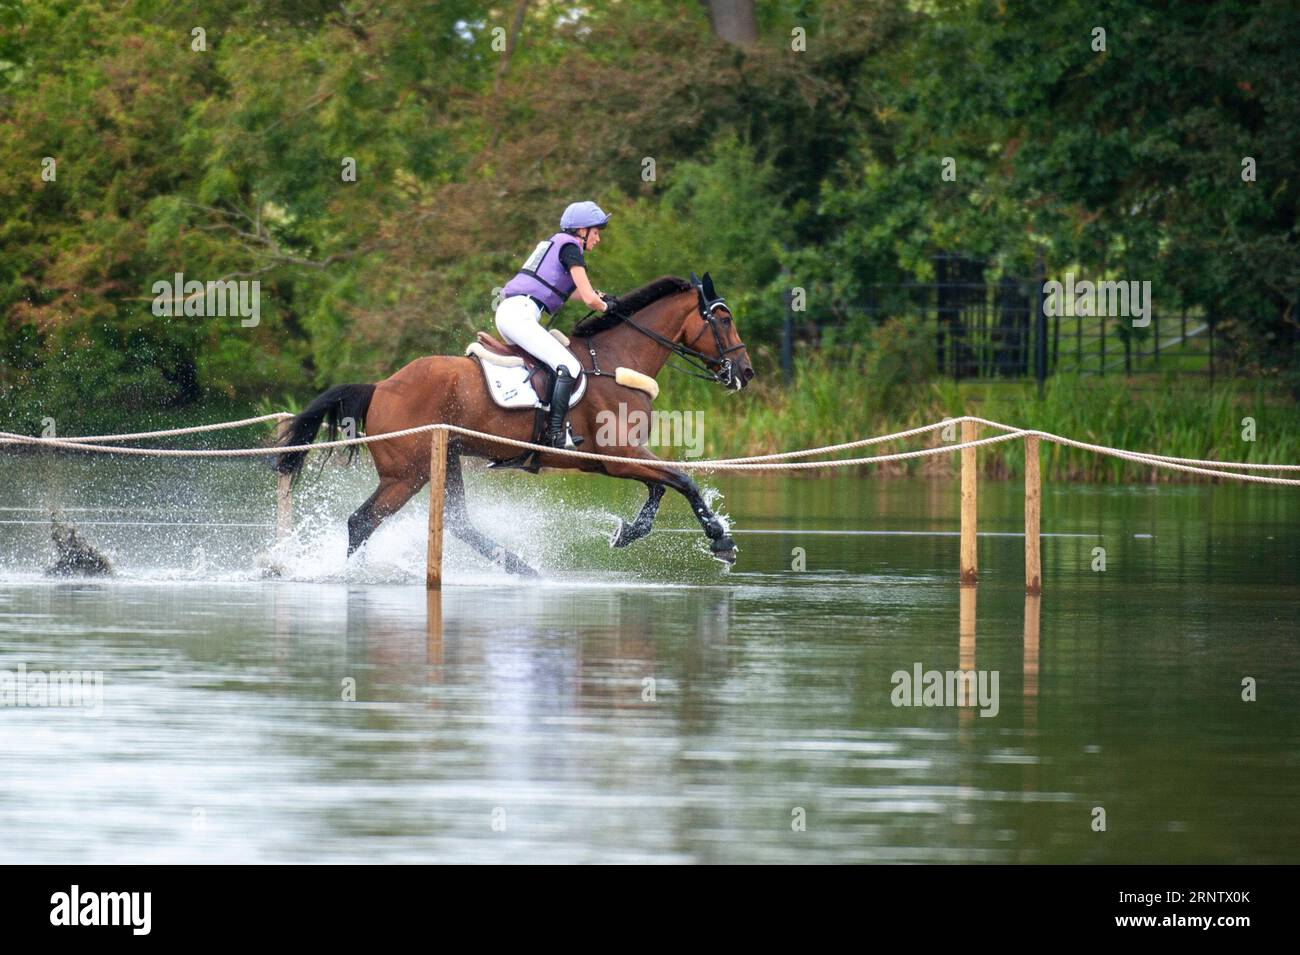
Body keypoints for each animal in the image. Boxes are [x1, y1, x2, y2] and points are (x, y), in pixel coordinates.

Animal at [279, 272, 759, 579]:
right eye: (724, 319)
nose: (744, 372)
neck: (616, 360)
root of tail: (381, 386)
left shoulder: (611, 461)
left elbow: (661, 486)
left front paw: (627, 533)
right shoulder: (617, 456)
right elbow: (681, 479)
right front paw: (721, 540)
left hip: (446, 456)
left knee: (457, 523)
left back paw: (520, 567)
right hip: (407, 473)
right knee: (362, 521)